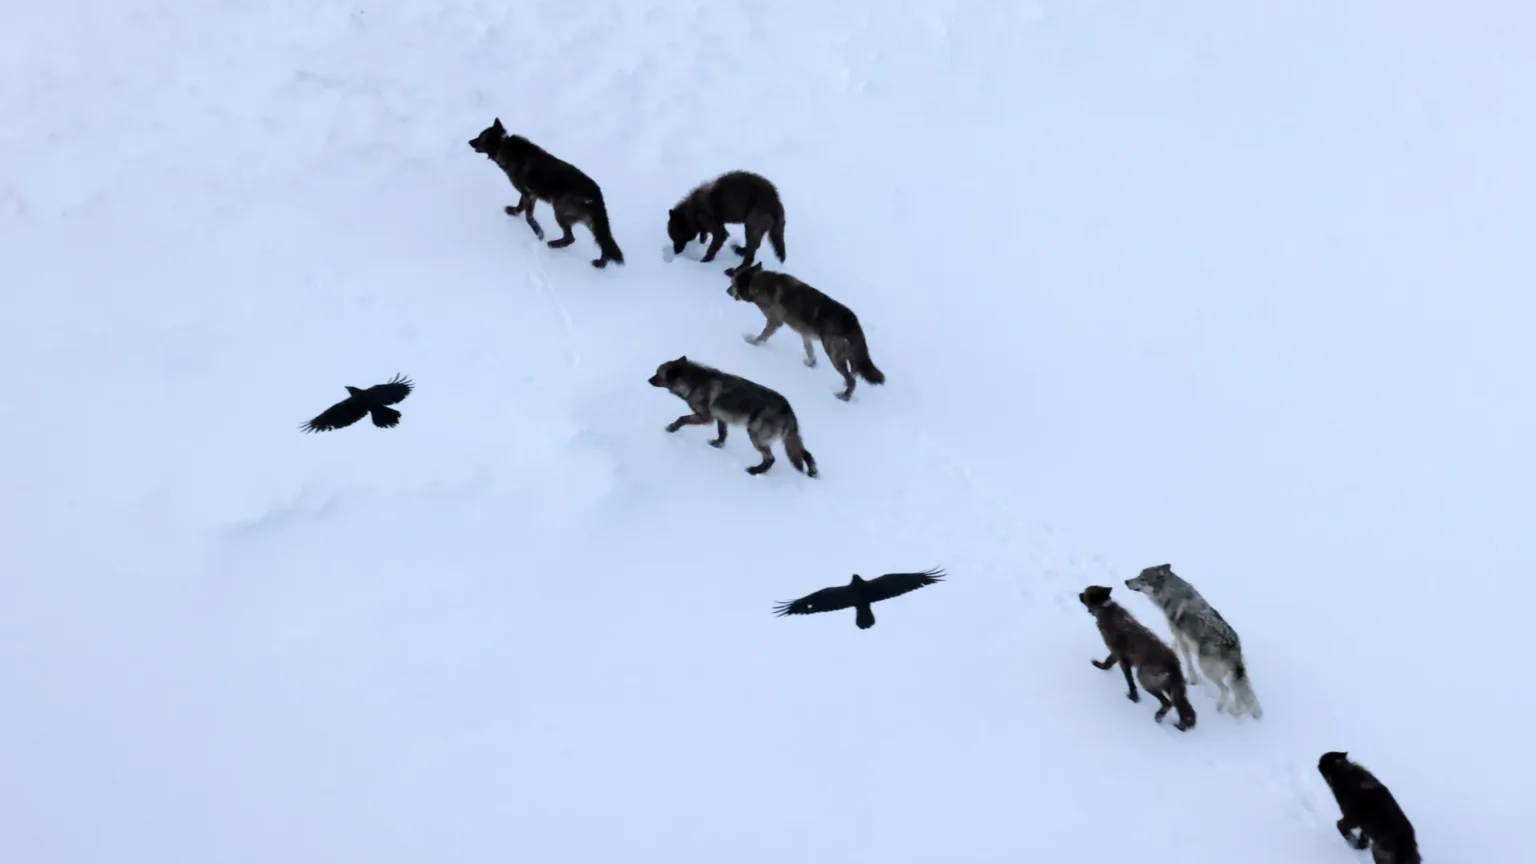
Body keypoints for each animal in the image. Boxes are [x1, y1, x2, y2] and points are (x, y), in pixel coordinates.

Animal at [468, 118, 624, 268]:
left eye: (480, 137)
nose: (468, 141)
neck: (503, 144)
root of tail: (597, 195)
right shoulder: (531, 195)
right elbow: (522, 208)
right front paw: (515, 214)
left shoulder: (528, 194)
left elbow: (527, 215)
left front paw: (538, 232)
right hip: (594, 225)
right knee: (605, 245)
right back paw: (600, 263)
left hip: (559, 210)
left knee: (571, 238)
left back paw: (552, 244)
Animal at [647, 356, 818, 477]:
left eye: (657, 374)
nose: (648, 379)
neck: (695, 383)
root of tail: (787, 408)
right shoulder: (721, 418)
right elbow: (722, 434)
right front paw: (717, 445)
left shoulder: (705, 418)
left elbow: (682, 418)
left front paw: (671, 428)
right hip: (789, 440)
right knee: (806, 454)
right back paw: (812, 473)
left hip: (755, 436)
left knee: (771, 459)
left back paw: (755, 471)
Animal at [727, 262, 885, 401]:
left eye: (733, 283)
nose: (727, 291)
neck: (757, 283)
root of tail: (853, 322)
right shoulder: (805, 334)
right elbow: (809, 351)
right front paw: (811, 364)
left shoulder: (774, 322)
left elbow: (761, 337)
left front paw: (750, 342)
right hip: (847, 356)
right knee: (854, 373)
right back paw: (843, 387)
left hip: (833, 354)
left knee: (852, 380)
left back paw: (844, 397)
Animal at [1078, 585, 1196, 731]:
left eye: (1085, 593)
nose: (1078, 594)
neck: (1104, 608)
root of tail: (1173, 664)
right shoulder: (1116, 655)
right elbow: (1108, 663)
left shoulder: (1121, 658)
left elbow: (1129, 681)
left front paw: (1134, 698)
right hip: (1171, 687)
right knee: (1184, 708)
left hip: (1144, 677)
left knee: (1168, 703)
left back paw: (1158, 717)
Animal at [1123, 563, 1263, 719]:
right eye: (1138, 575)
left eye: (1143, 579)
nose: (1126, 581)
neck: (1170, 593)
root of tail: (1232, 644)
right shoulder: (1179, 634)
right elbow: (1174, 645)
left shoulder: (1180, 636)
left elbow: (1187, 660)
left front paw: (1192, 680)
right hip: (1233, 674)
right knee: (1242, 694)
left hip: (1206, 668)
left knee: (1227, 690)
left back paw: (1219, 708)